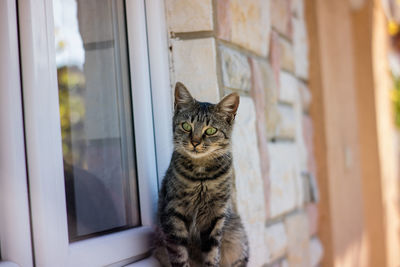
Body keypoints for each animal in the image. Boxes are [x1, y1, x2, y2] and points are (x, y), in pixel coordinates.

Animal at [155, 82, 248, 266]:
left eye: (210, 130)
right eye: (186, 126)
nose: (195, 142)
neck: (201, 177)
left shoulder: (215, 217)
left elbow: (212, 254)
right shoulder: (174, 214)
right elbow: (179, 255)